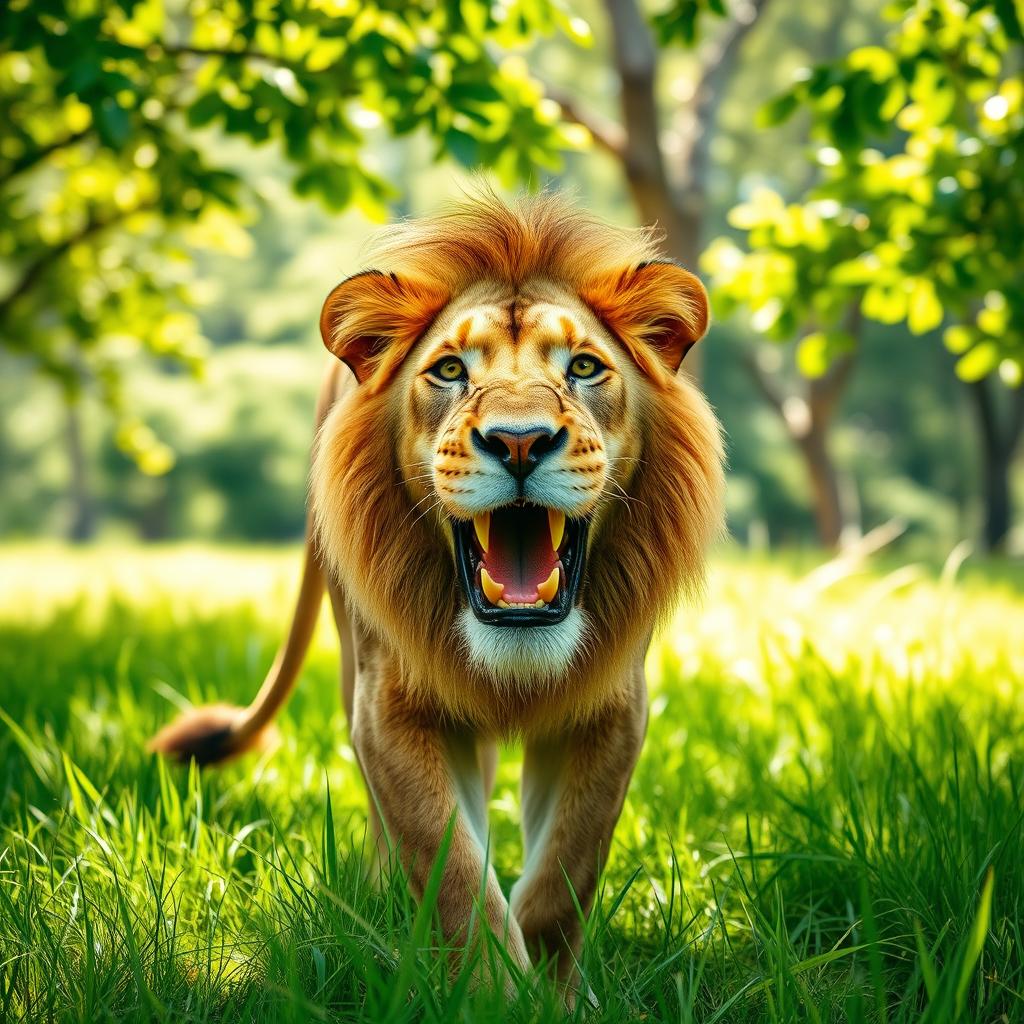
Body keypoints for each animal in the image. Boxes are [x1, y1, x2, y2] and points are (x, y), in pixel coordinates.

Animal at [149, 191, 724, 998]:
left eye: (584, 367)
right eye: (450, 369)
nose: (519, 442)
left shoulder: (610, 710)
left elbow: (565, 872)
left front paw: (552, 994)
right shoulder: (390, 706)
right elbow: (453, 870)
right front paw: (495, 995)